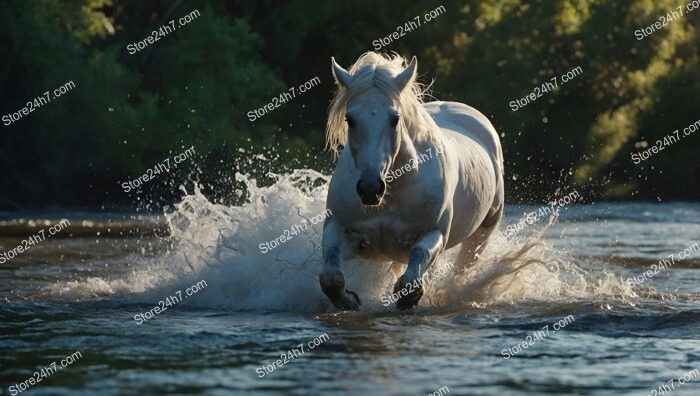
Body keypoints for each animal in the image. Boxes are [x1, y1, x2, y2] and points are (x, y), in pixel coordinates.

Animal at [318, 52, 504, 310]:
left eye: (395, 119)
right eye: (350, 119)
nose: (370, 189)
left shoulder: (432, 234)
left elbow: (410, 283)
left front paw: (409, 299)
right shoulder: (338, 228)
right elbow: (331, 277)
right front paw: (350, 300)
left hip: (485, 228)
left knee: (462, 267)